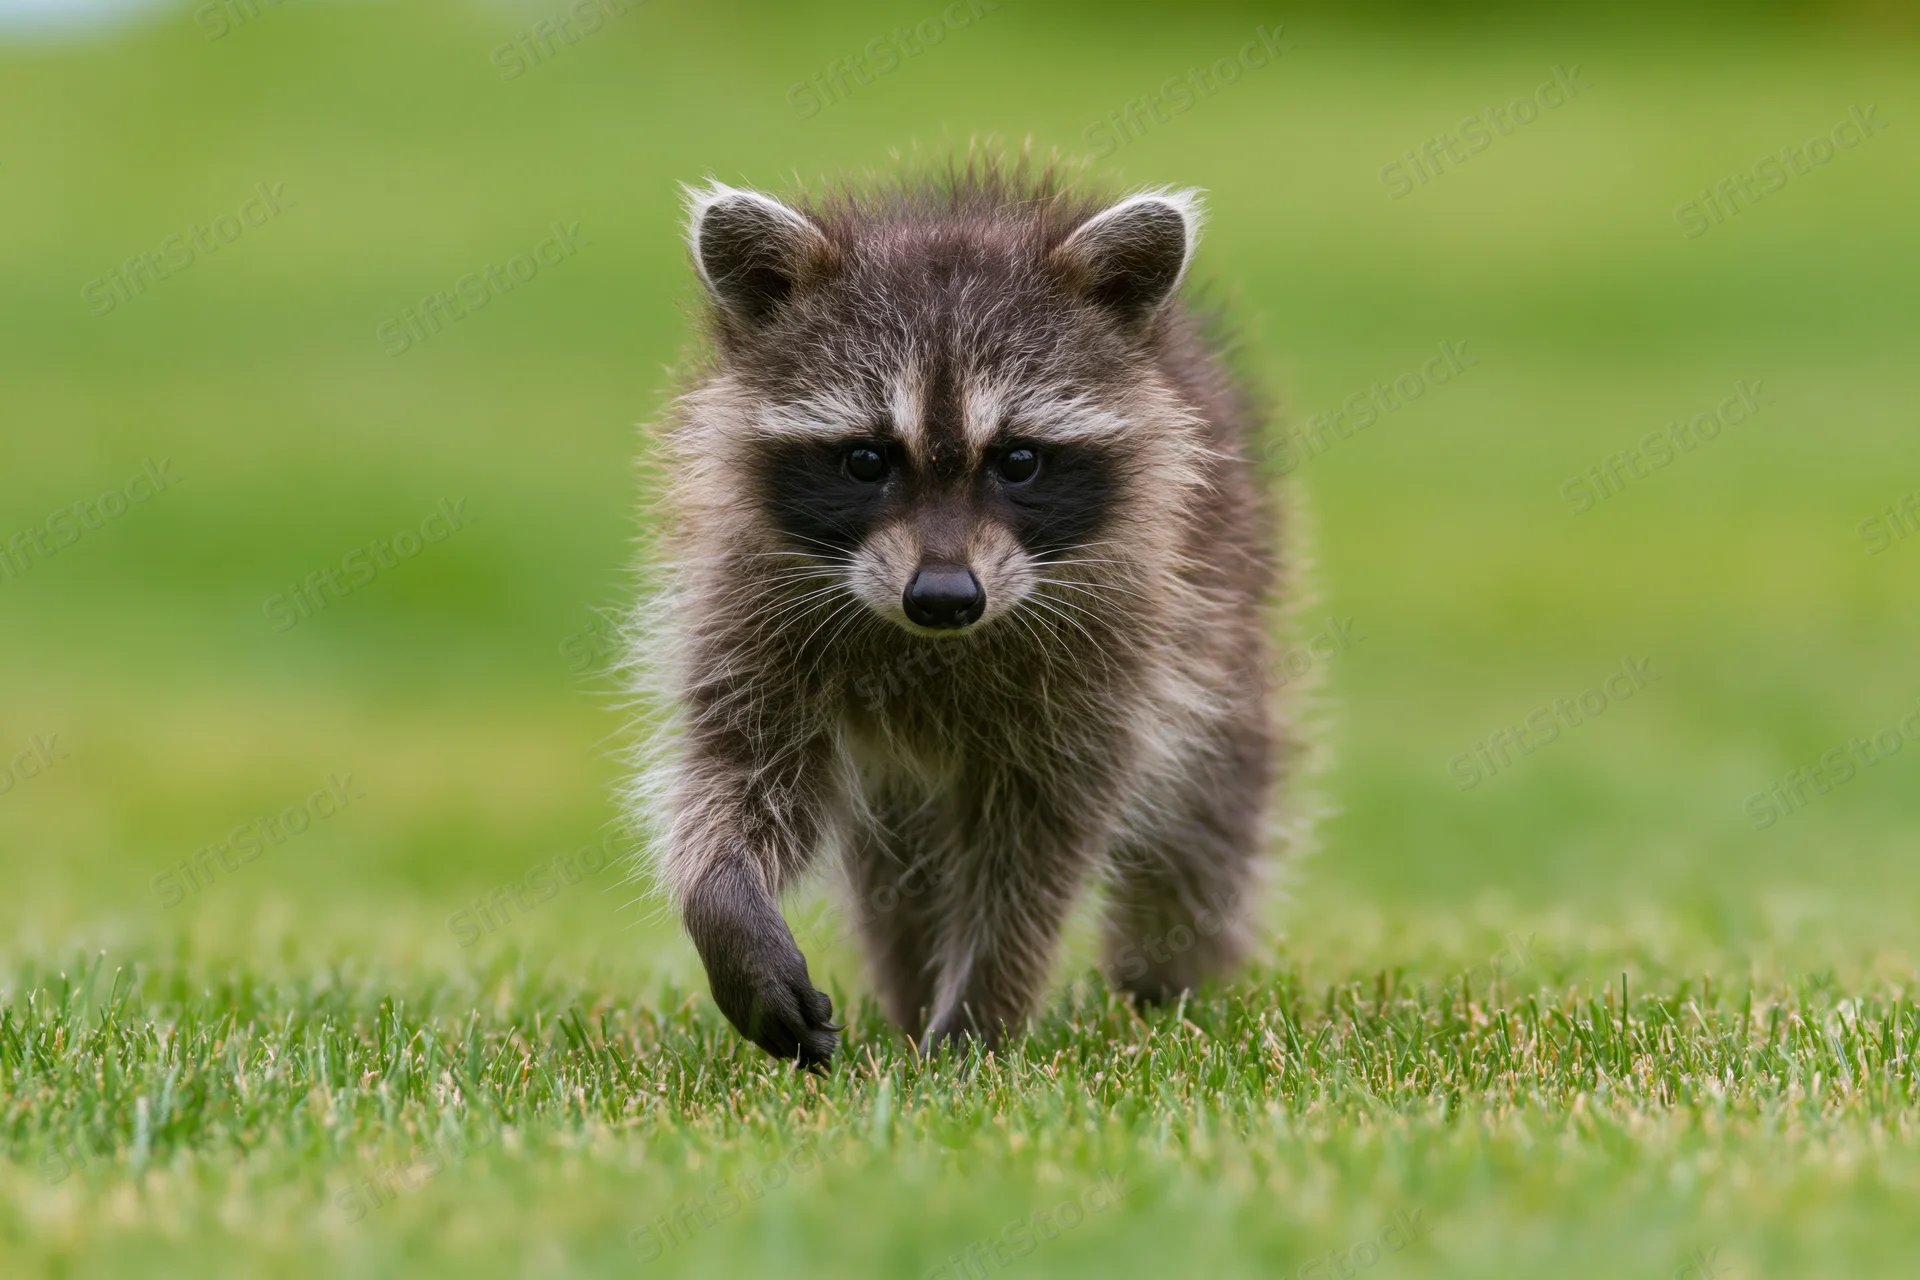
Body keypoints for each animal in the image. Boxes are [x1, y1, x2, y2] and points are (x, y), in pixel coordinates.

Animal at [632, 161, 1296, 1069]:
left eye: (1018, 460)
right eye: (865, 459)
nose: (945, 598)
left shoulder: (1110, 664)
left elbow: (1030, 865)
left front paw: (979, 1018)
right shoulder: (749, 609)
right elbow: (734, 777)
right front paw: (726, 911)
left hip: (1225, 627)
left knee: (1202, 831)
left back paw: (1164, 984)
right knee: (900, 885)